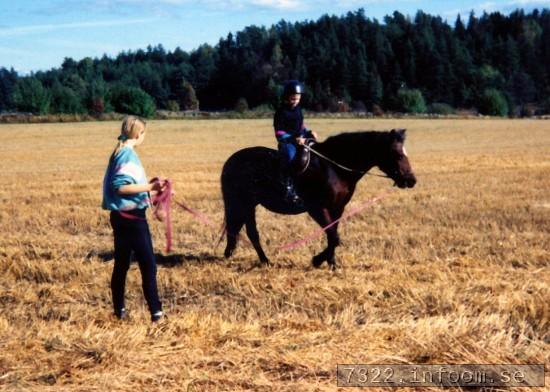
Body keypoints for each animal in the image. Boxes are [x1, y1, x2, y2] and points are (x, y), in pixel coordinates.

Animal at [220, 129, 418, 270]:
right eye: (398, 155)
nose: (411, 180)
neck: (333, 168)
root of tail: (231, 161)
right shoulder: (317, 208)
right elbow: (334, 236)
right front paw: (317, 260)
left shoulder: (337, 208)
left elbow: (334, 234)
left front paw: (331, 262)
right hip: (241, 203)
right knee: (249, 231)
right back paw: (263, 260)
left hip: (247, 205)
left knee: (241, 230)